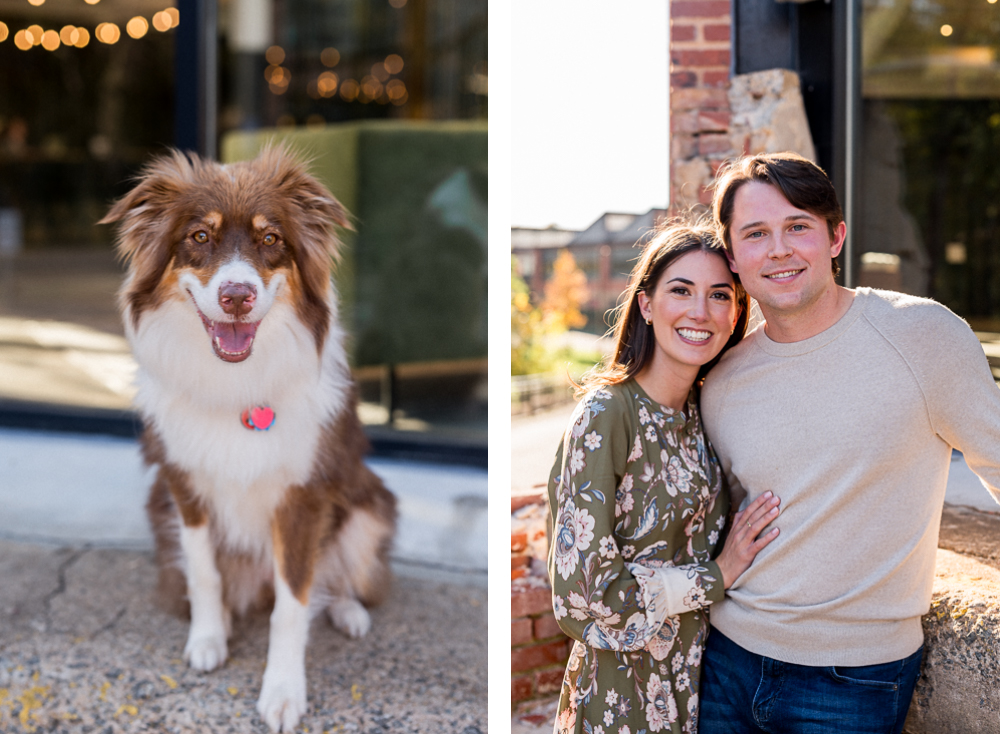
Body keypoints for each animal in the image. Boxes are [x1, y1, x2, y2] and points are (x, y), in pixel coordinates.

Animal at [101, 150, 396, 734]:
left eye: (270, 239)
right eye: (198, 236)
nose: (236, 296)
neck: (235, 382)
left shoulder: (303, 498)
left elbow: (293, 603)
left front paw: (282, 691)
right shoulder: (184, 485)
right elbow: (204, 572)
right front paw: (208, 639)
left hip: (369, 506)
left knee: (337, 575)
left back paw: (348, 609)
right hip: (159, 509)